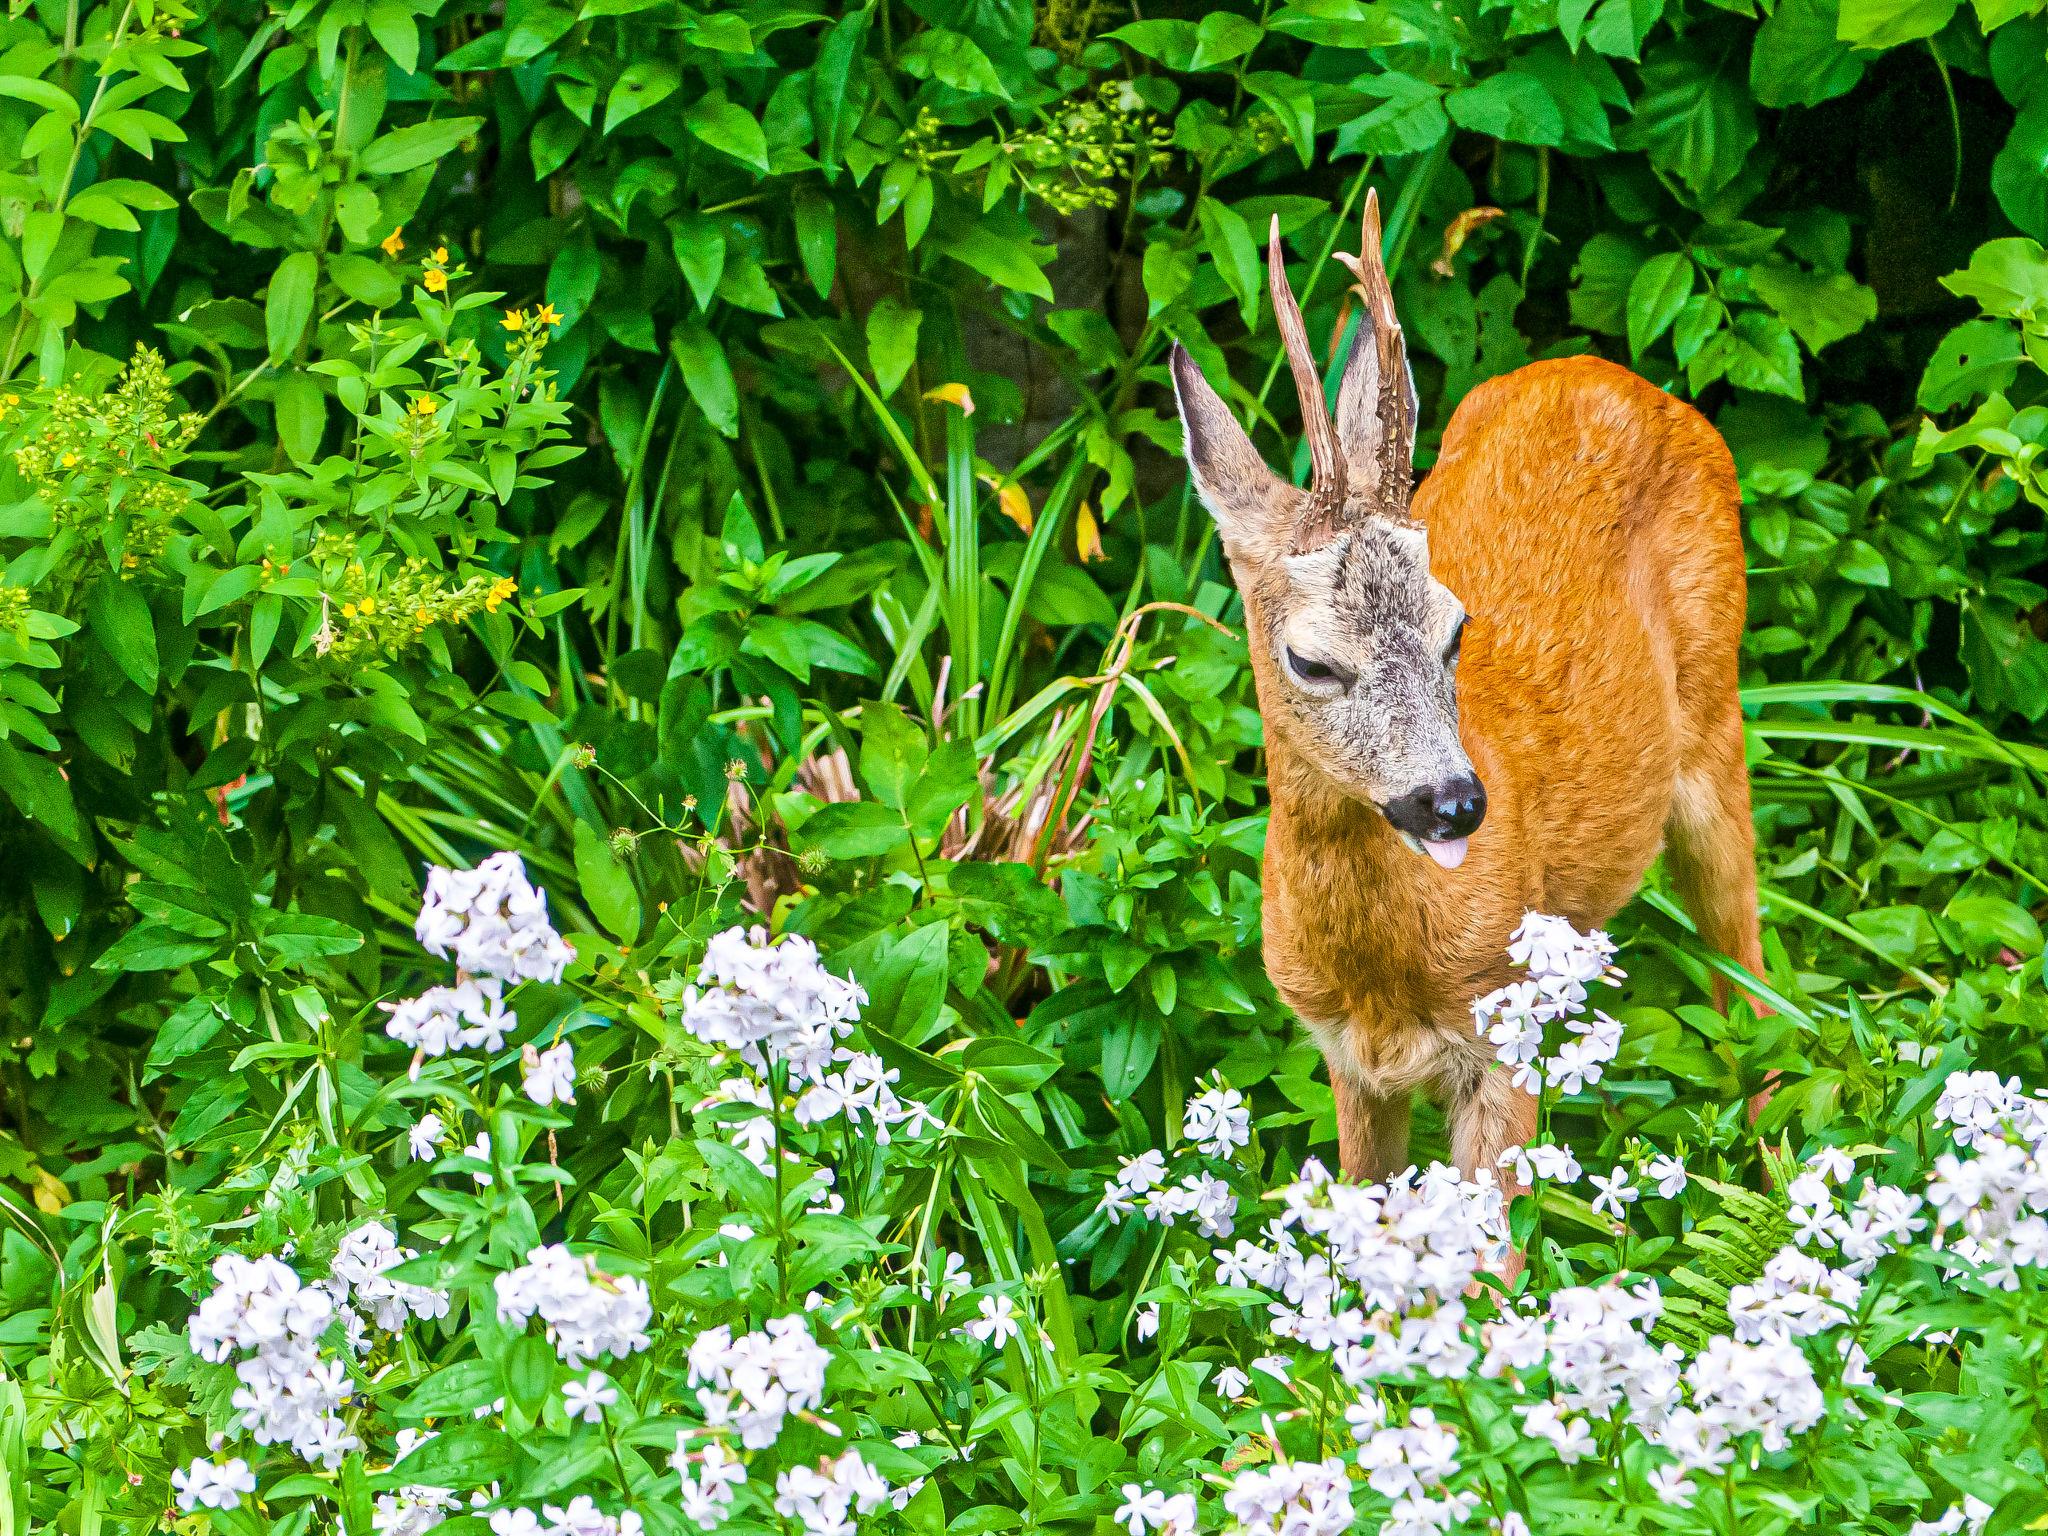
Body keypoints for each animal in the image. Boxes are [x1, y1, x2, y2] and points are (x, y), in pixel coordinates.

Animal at [1179, 192, 1769, 1212]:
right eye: (1310, 661)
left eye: (1456, 629)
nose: (1454, 802)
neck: (1383, 969)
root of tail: (1613, 371)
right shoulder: (1345, 1057)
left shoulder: (1505, 1035)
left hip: (1713, 713)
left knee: (1753, 974)